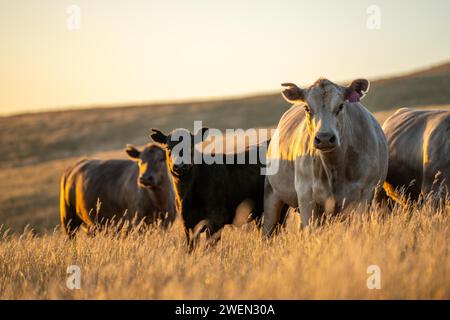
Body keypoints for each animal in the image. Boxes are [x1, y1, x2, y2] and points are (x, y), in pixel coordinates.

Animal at [262, 78, 388, 236]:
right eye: (307, 108)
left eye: (340, 106)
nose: (325, 138)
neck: (335, 167)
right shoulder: (306, 197)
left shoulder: (364, 195)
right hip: (272, 197)